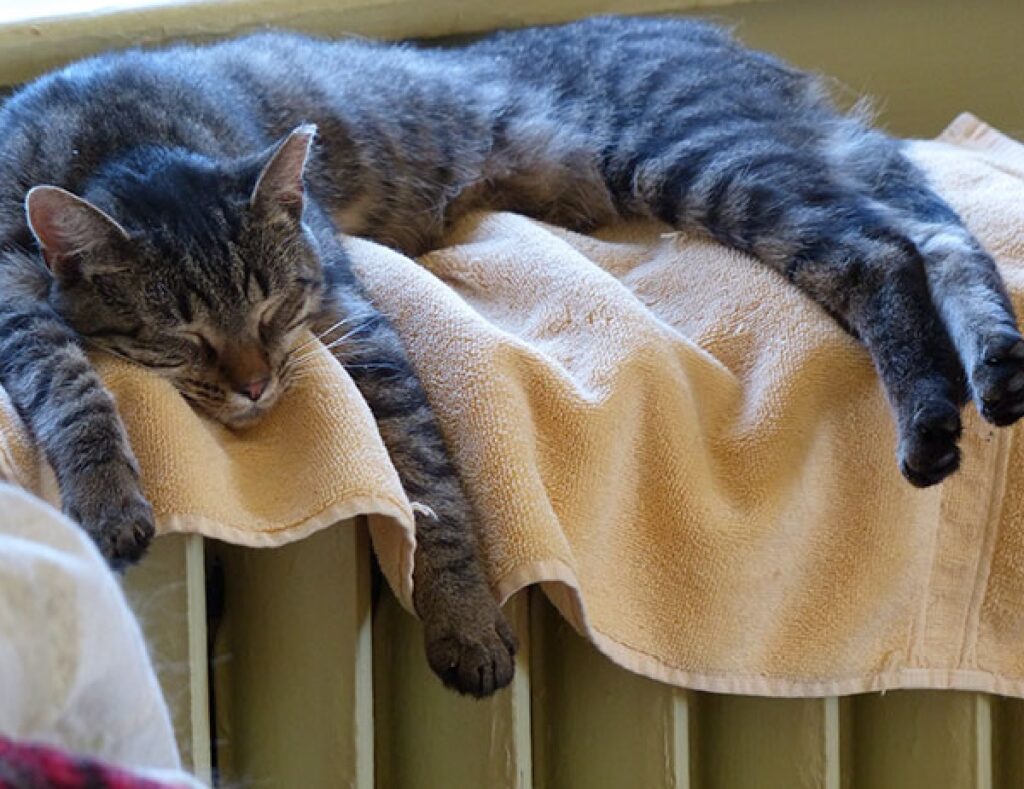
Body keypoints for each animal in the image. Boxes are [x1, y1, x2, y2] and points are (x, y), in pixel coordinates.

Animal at [2, 15, 1024, 695]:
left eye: (275, 301)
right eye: (181, 334)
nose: (255, 385)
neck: (121, 131)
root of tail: (715, 38)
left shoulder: (353, 315)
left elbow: (432, 487)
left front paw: (463, 622)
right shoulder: (15, 306)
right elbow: (70, 384)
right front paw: (108, 498)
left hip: (701, 160)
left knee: (881, 251)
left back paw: (931, 422)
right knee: (935, 238)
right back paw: (991, 380)